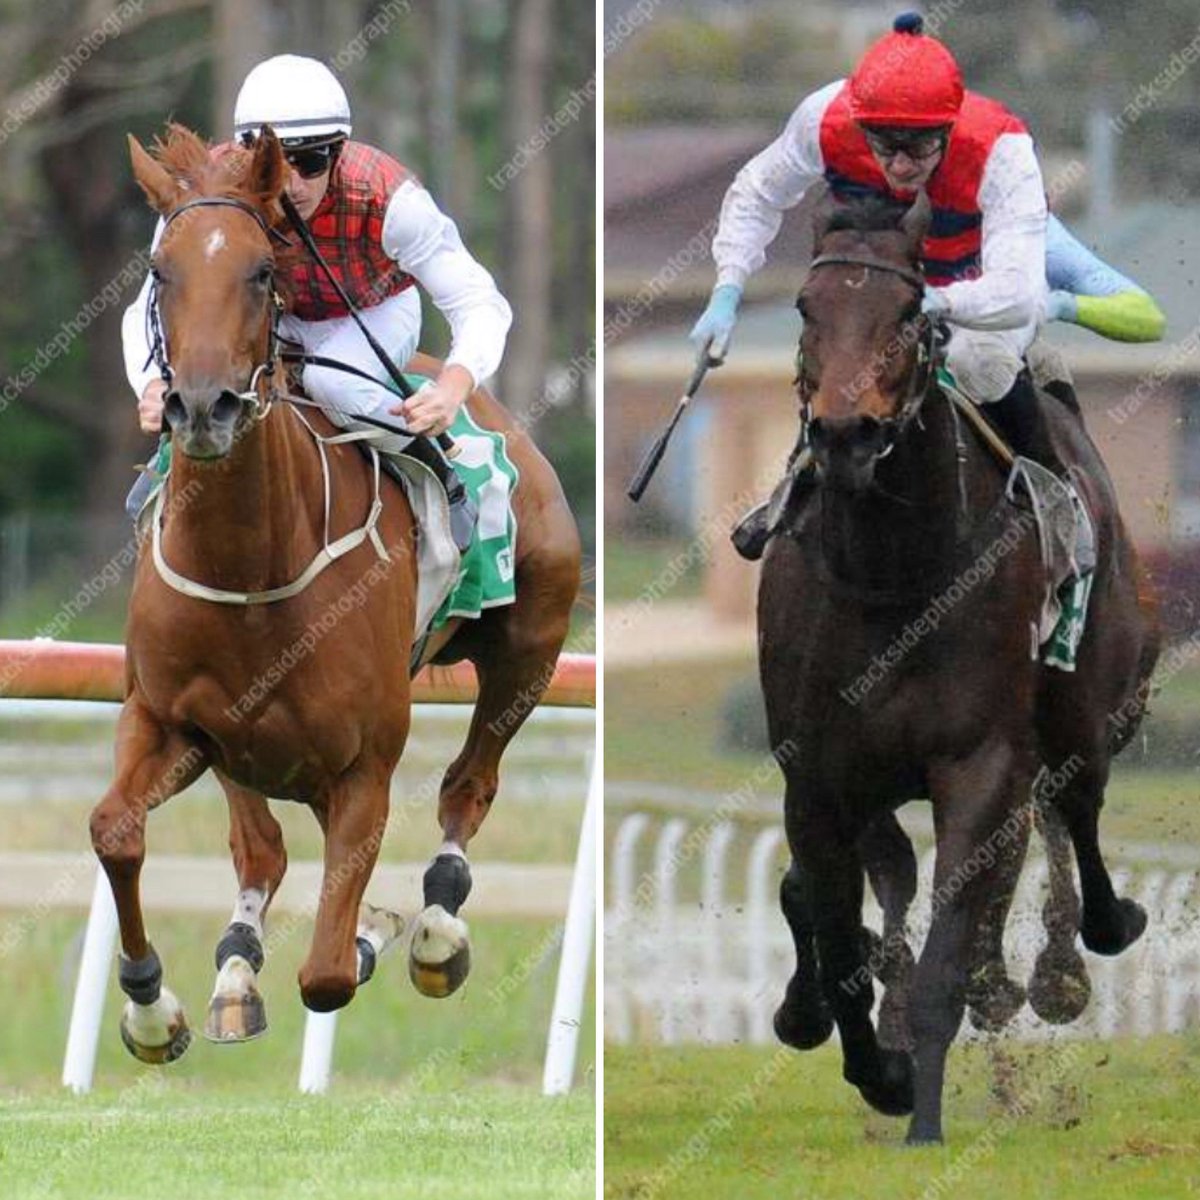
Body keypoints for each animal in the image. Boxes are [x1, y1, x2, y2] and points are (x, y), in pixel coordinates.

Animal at [88, 124, 580, 1062]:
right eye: (161, 271)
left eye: (262, 270)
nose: (199, 407)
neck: (252, 568)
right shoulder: (168, 719)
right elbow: (118, 830)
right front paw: (150, 1006)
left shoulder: (363, 769)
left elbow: (326, 973)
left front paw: (373, 931)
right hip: (239, 746)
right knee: (261, 849)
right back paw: (237, 969)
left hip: (529, 653)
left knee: (469, 787)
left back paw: (434, 930)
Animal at [757, 192, 1159, 1144]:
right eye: (805, 308)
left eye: (911, 314)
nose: (846, 434)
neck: (894, 574)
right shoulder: (819, 776)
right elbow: (838, 935)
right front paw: (878, 1066)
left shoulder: (980, 765)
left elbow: (949, 940)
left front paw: (923, 1113)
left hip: (1089, 708)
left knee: (1075, 816)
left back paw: (1069, 960)